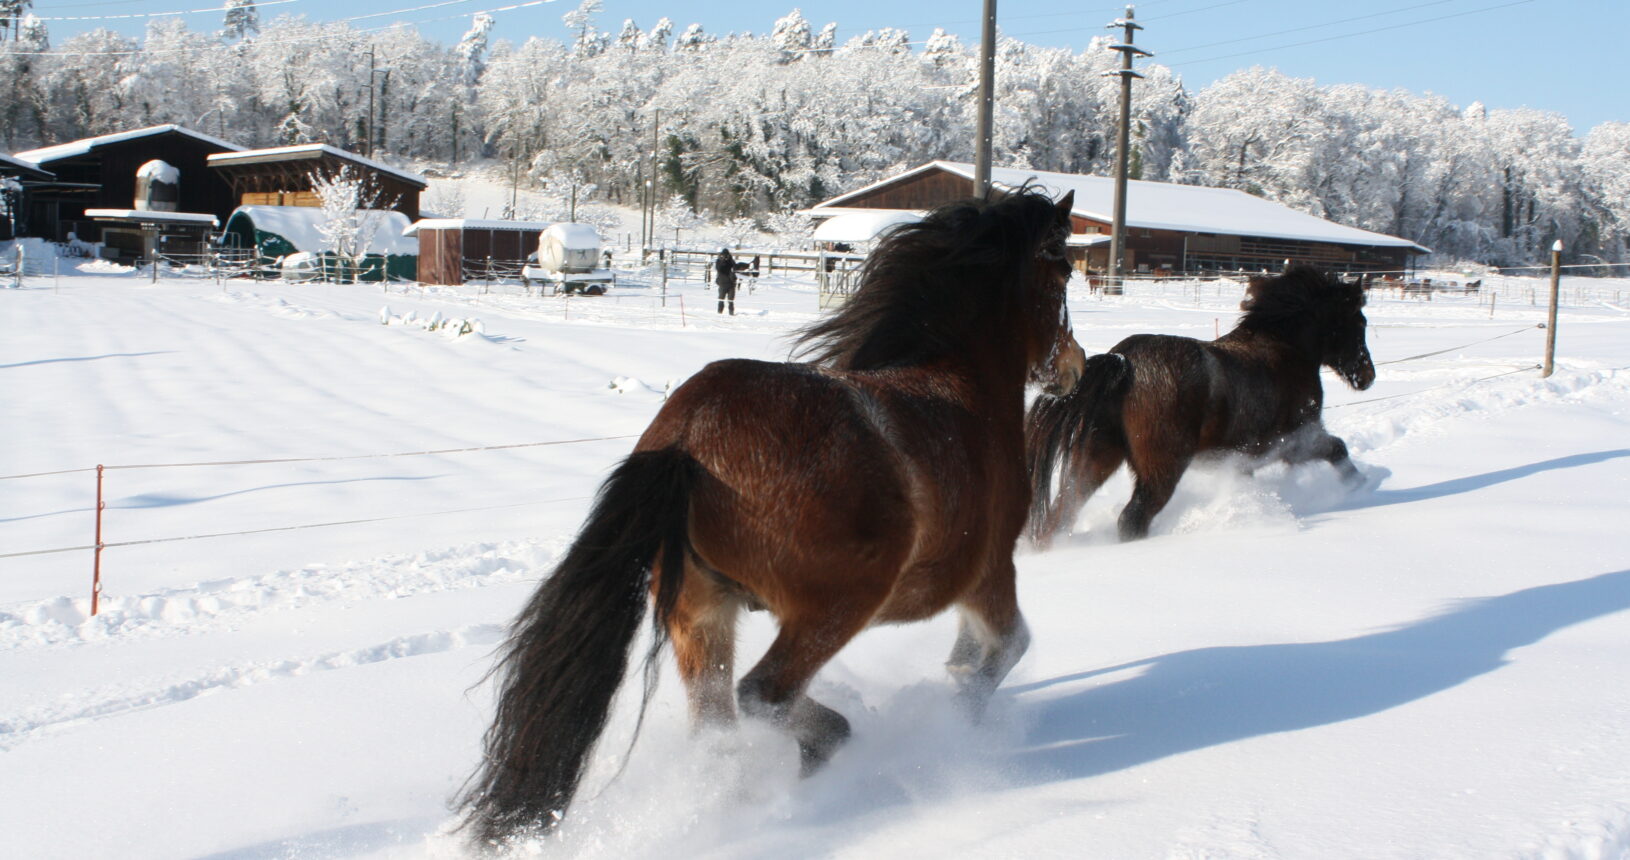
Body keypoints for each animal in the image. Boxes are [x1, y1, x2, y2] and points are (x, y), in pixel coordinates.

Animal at [459, 188, 1086, 845]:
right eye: (1064, 270)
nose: (1076, 365)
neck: (961, 392)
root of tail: (686, 438)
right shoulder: (990, 571)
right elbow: (1006, 650)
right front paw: (962, 721)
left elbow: (969, 656)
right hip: (834, 608)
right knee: (765, 694)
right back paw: (831, 751)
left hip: (700, 616)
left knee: (717, 729)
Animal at [1026, 263, 1375, 545]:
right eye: (1359, 322)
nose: (1367, 375)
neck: (1286, 349)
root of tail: (1125, 361)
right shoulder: (1296, 441)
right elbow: (1338, 449)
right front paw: (1360, 485)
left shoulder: (1246, 458)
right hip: (1161, 470)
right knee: (1131, 519)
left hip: (1096, 458)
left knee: (1062, 512)